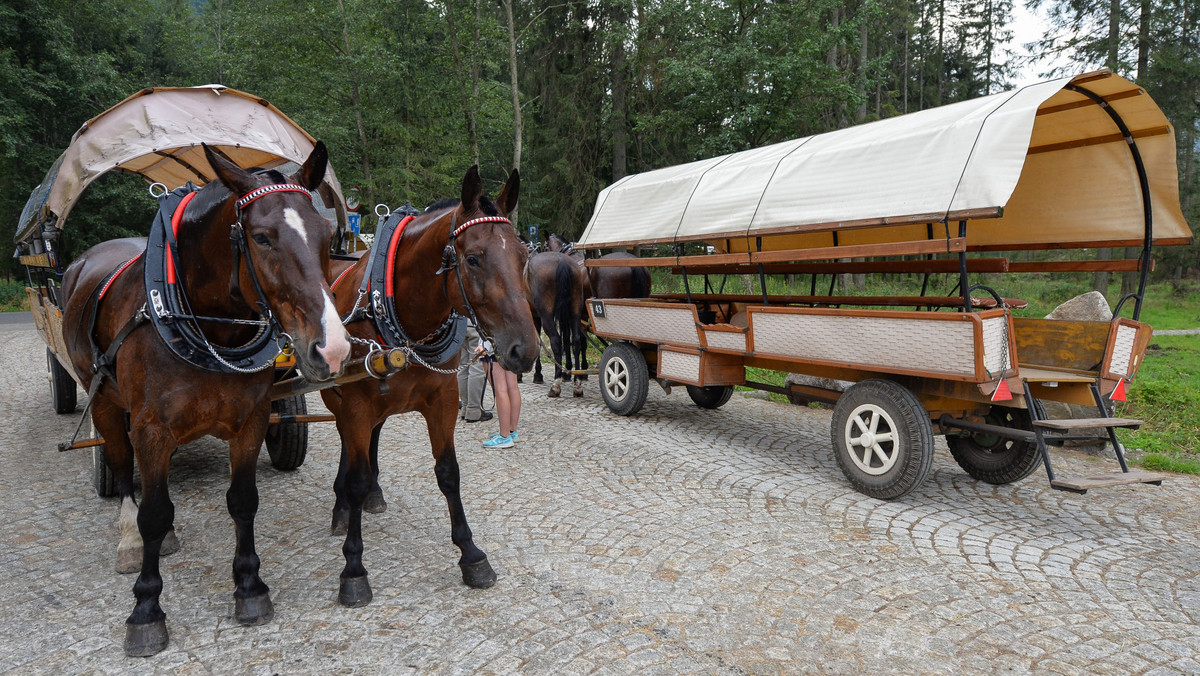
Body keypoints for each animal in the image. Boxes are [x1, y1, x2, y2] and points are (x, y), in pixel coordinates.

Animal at [59, 142, 350, 657]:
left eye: (327, 234)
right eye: (262, 237)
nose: (332, 349)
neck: (207, 325)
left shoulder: (251, 419)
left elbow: (243, 501)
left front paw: (249, 587)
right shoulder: (151, 428)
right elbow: (154, 511)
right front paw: (146, 609)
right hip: (105, 400)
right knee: (121, 464)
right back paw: (129, 537)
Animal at [324, 164, 540, 602]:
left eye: (524, 257)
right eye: (472, 259)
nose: (524, 350)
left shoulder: (442, 399)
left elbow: (448, 473)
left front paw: (471, 554)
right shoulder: (356, 405)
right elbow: (355, 479)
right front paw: (353, 567)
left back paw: (373, 494)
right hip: (337, 399)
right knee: (347, 445)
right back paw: (343, 507)